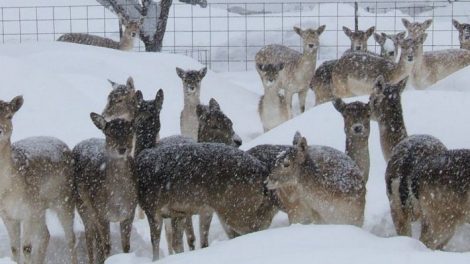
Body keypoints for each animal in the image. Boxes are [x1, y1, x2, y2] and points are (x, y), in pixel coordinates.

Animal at [0, 96, 76, 264]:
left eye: (10, 116)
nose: (0, 129)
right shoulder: (7, 215)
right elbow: (14, 248)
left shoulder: (28, 210)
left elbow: (26, 248)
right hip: (40, 208)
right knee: (45, 235)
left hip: (64, 200)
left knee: (71, 239)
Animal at [72, 114, 137, 262]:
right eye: (109, 133)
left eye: (130, 132)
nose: (122, 148)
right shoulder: (101, 212)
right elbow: (107, 245)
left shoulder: (130, 211)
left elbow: (126, 246)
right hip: (83, 206)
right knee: (90, 238)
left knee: (96, 241)